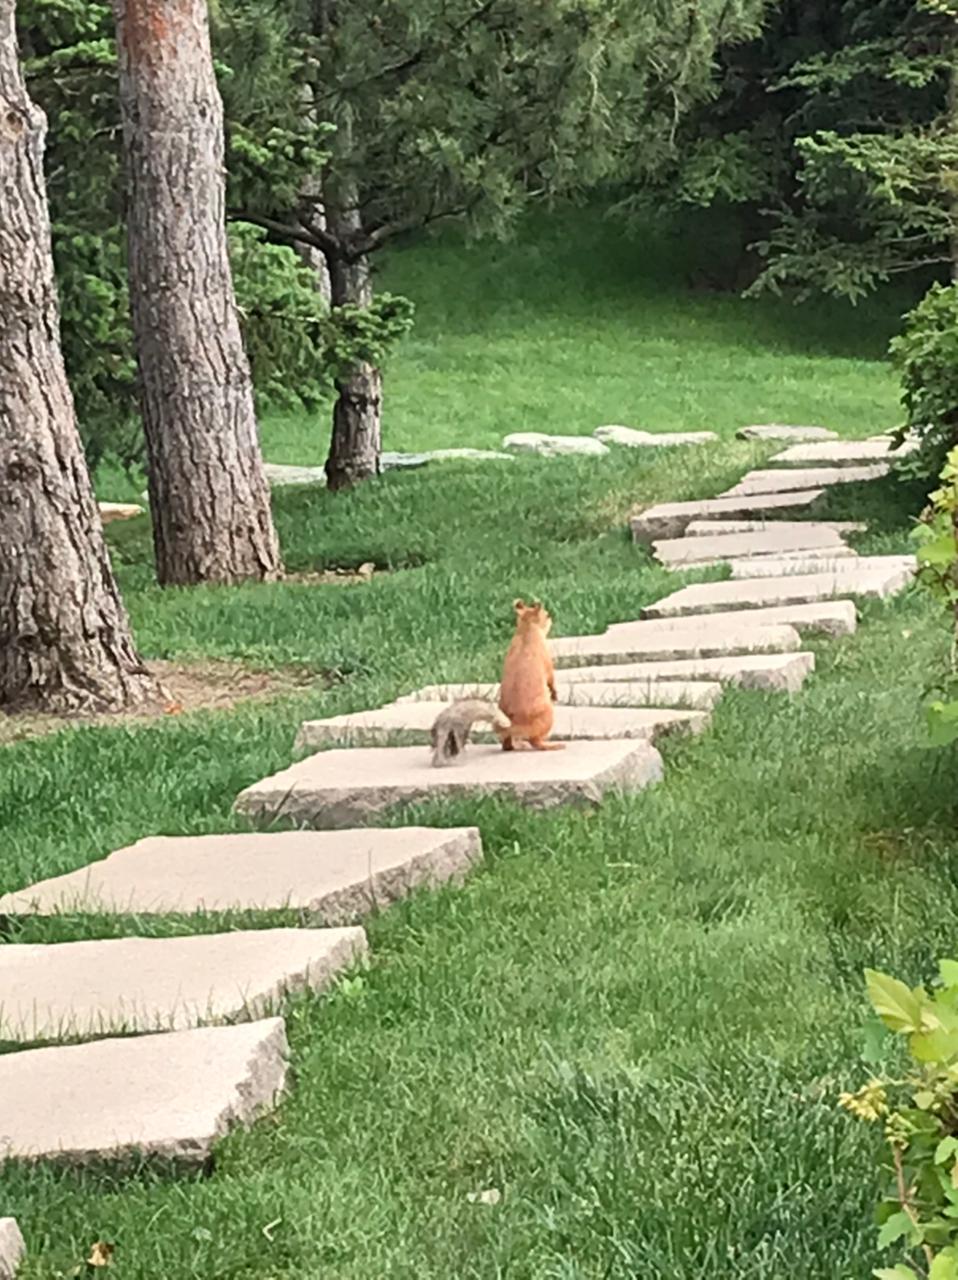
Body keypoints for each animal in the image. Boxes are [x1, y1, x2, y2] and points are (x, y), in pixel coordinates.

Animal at [496, 596, 566, 747]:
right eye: (547, 615)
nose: (551, 617)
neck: (526, 630)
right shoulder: (547, 658)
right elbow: (551, 679)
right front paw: (555, 694)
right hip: (548, 716)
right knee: (536, 741)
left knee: (507, 744)